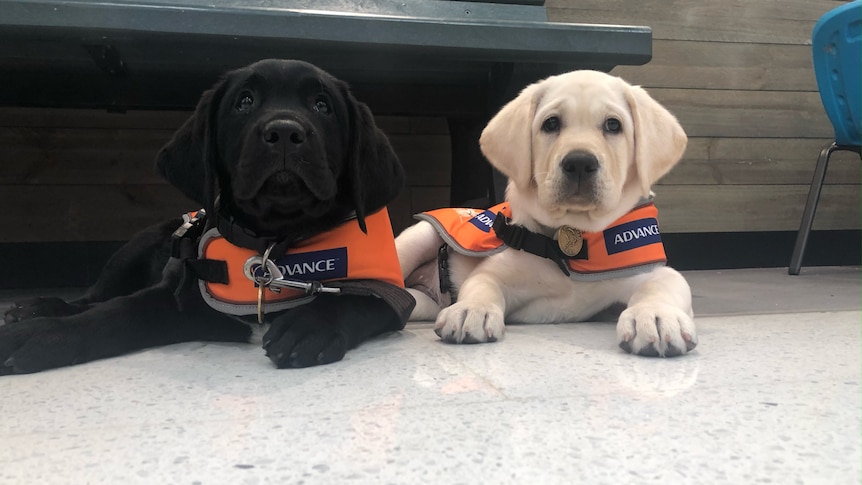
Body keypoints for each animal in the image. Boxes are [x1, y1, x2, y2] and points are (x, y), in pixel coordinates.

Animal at [0, 57, 416, 374]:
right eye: (244, 101)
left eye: (322, 105)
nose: (284, 132)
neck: (272, 243)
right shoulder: (175, 298)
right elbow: (112, 313)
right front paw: (40, 334)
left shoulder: (393, 295)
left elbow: (353, 299)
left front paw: (309, 326)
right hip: (131, 254)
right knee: (95, 297)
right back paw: (35, 309)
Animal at [394, 69, 700, 356]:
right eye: (551, 123)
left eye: (613, 125)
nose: (580, 162)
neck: (572, 237)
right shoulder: (497, 271)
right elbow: (481, 283)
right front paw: (471, 309)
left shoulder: (645, 272)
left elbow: (666, 283)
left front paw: (656, 317)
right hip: (417, 239)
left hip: (423, 303)